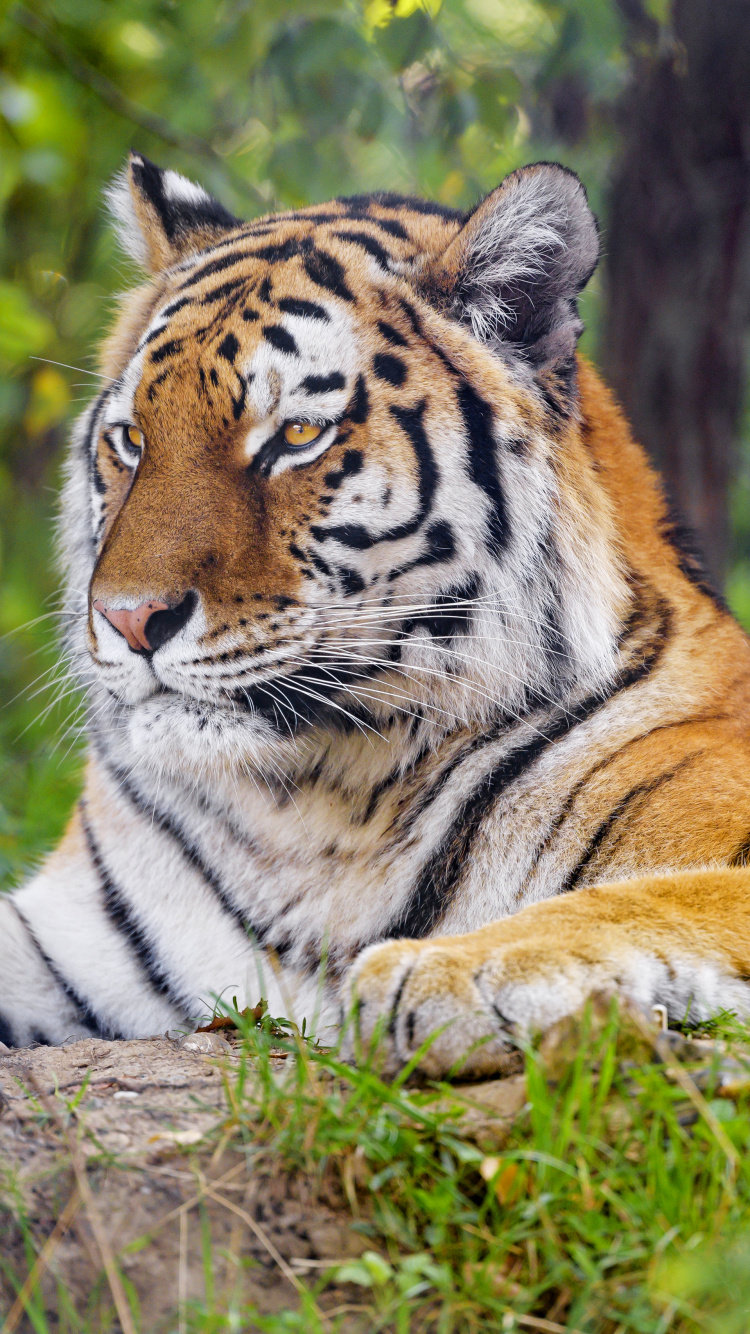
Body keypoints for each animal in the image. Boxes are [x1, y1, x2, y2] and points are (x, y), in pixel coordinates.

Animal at [2, 150, 750, 1079]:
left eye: (296, 436)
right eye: (133, 439)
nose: (129, 619)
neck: (316, 810)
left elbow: (651, 896)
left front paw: (450, 969)